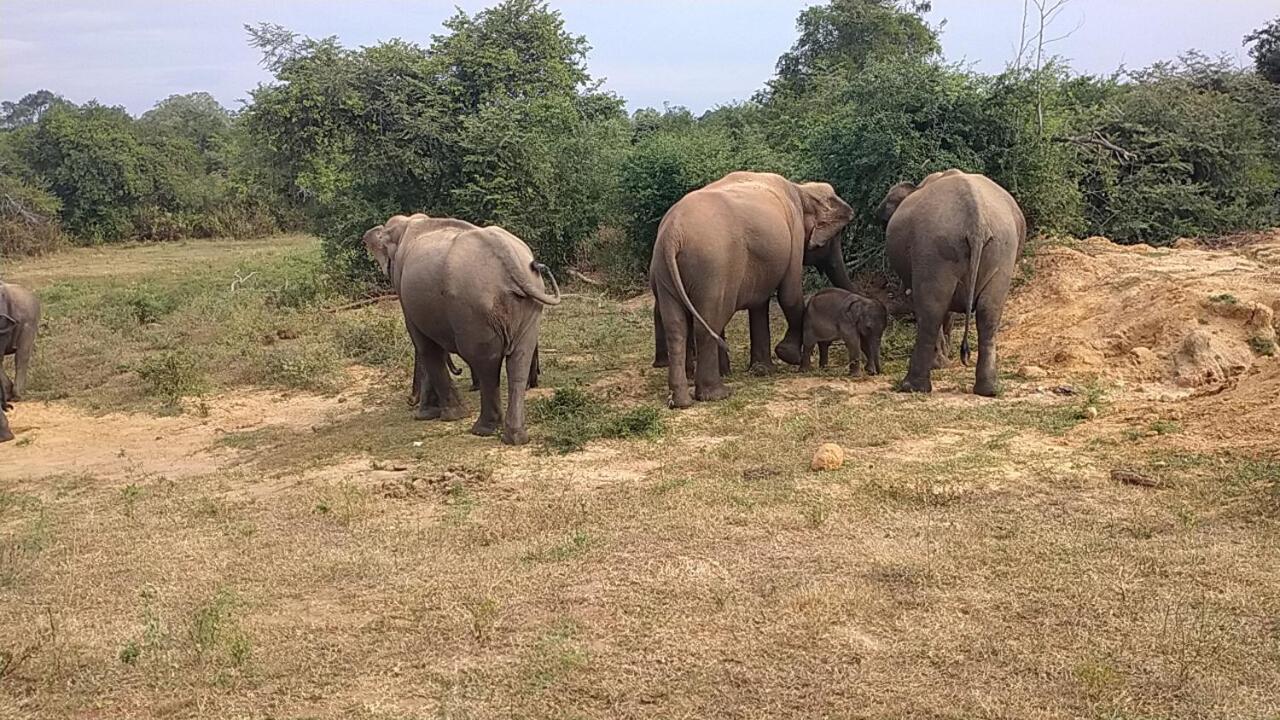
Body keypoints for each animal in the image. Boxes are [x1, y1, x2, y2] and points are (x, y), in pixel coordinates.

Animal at [360, 212, 560, 443]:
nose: (410, 401)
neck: (409, 222)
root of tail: (506, 255)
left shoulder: (404, 292)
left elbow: (425, 346)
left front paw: (444, 415)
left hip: (475, 308)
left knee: (485, 360)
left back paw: (483, 429)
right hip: (529, 304)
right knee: (519, 359)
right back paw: (516, 437)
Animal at [655, 167, 855, 404]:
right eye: (834, 238)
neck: (801, 189)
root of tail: (672, 235)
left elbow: (759, 303)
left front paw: (762, 370)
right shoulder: (794, 232)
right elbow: (790, 295)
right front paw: (789, 357)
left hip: (665, 271)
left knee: (676, 326)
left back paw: (682, 401)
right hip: (712, 267)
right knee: (709, 322)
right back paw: (717, 394)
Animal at [880, 167, 1029, 394]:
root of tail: (976, 222)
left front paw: (940, 363)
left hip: (933, 247)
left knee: (930, 310)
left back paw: (912, 387)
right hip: (1002, 249)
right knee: (989, 312)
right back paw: (988, 390)